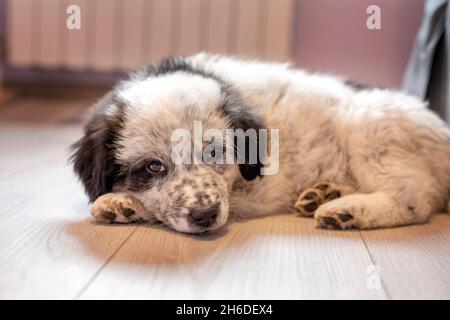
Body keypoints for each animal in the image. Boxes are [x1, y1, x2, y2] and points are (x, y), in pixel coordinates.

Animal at [70, 52, 450, 232]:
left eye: (215, 153)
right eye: (153, 166)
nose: (205, 216)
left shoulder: (257, 192)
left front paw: (120, 202)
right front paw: (122, 201)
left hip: (368, 127)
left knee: (414, 197)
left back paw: (346, 211)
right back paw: (325, 194)